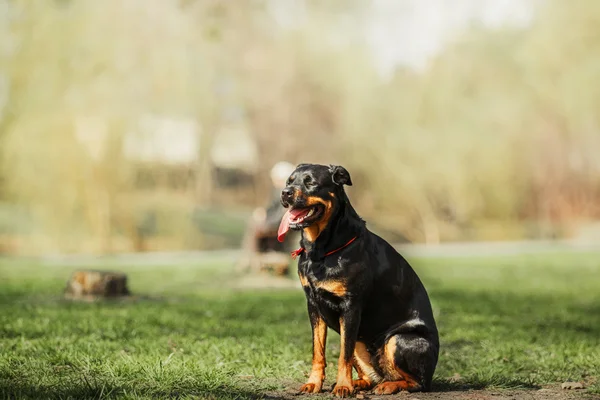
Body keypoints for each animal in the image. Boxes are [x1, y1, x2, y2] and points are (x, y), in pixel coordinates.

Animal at [278, 163, 440, 396]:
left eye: (311, 183)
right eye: (289, 181)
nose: (285, 193)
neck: (321, 251)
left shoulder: (351, 306)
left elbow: (343, 355)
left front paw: (343, 387)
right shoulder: (313, 305)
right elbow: (318, 351)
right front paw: (314, 383)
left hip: (399, 339)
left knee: (418, 383)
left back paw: (387, 386)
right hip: (361, 341)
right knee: (370, 376)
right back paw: (360, 383)